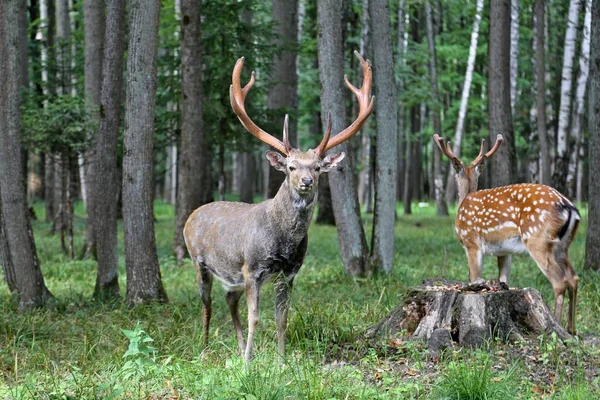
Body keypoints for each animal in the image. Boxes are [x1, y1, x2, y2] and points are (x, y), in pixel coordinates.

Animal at [183, 50, 372, 362]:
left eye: (318, 167)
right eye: (291, 167)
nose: (307, 181)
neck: (282, 241)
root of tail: (191, 215)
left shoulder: (289, 273)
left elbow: (282, 318)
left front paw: (281, 362)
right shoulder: (252, 268)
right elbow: (255, 317)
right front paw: (249, 364)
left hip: (232, 276)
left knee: (229, 298)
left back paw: (237, 348)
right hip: (199, 261)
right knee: (206, 305)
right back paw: (205, 350)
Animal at [436, 134, 580, 334]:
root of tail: (570, 207)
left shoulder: (471, 242)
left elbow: (474, 276)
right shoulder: (504, 250)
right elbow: (503, 278)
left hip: (537, 240)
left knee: (560, 281)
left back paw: (556, 327)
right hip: (563, 246)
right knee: (574, 278)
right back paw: (571, 329)